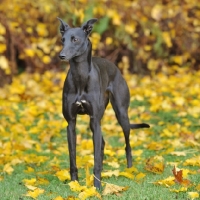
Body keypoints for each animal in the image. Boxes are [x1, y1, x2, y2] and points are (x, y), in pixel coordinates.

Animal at [57, 18, 149, 188]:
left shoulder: (95, 120)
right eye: (62, 40)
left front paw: (97, 186)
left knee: (127, 145)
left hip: (121, 115)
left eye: (75, 39)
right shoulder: (71, 123)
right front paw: (74, 183)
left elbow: (96, 159)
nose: (61, 55)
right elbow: (73, 157)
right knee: (103, 144)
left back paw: (130, 169)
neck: (80, 77)